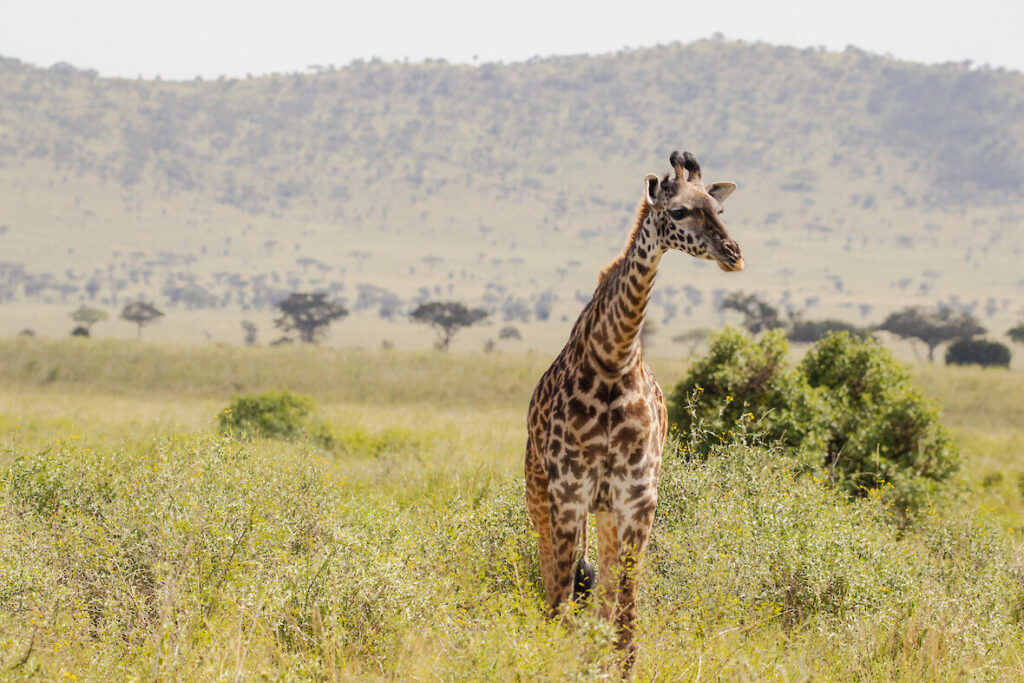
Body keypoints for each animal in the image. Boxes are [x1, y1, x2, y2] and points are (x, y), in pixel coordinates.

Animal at [524, 150, 744, 662]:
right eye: (679, 211)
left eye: (719, 209)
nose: (734, 254)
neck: (612, 359)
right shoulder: (569, 490)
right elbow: (561, 601)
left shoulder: (638, 496)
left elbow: (625, 619)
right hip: (539, 490)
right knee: (552, 585)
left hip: (604, 511)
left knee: (604, 598)